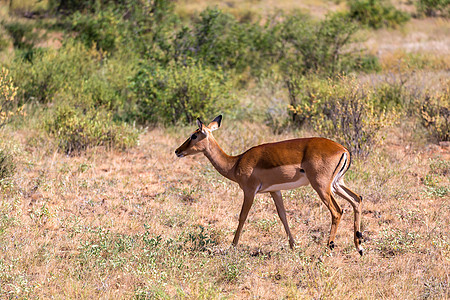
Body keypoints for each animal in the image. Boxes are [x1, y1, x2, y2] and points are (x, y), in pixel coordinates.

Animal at [174, 115, 364, 255]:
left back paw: (328, 248)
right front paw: (293, 246)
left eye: (194, 135)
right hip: (336, 184)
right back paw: (359, 246)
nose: (177, 151)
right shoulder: (275, 191)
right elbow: (283, 216)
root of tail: (343, 150)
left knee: (337, 211)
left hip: (321, 186)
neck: (235, 163)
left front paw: (232, 246)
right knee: (357, 199)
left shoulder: (249, 191)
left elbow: (242, 216)